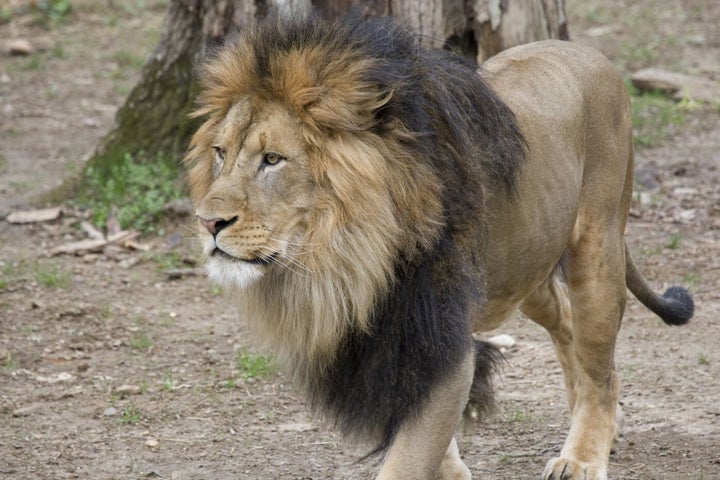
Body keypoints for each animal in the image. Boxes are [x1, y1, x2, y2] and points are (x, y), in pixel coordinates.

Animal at [184, 12, 694, 480]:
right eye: (220, 154)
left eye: (272, 160)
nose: (208, 222)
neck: (345, 259)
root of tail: (590, 54)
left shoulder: (439, 337)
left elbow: (409, 457)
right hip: (525, 271)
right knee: (568, 325)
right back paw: (609, 426)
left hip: (597, 250)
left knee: (597, 367)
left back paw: (585, 455)